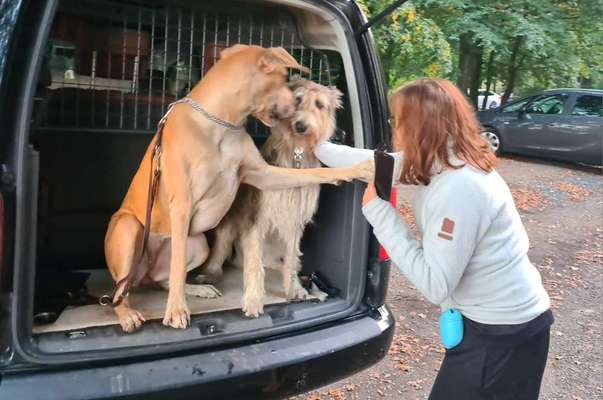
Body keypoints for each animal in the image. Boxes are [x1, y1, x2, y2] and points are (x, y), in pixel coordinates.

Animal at [201, 77, 344, 316]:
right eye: (297, 100)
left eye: (319, 105)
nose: (300, 126)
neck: (296, 153)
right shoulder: (256, 218)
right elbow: (254, 266)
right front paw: (252, 300)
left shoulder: (295, 222)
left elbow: (292, 259)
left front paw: (294, 289)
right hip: (229, 226)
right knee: (223, 253)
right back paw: (209, 274)